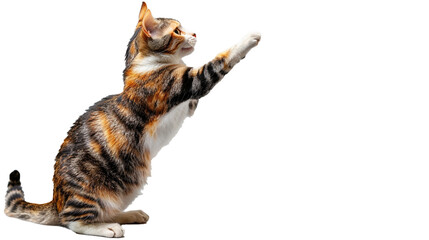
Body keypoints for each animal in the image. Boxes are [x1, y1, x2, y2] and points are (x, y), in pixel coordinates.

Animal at [4, 1, 260, 238]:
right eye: (177, 31)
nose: (195, 34)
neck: (148, 63)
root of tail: (56, 199)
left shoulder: (189, 104)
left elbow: (195, 97)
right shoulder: (188, 83)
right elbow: (216, 63)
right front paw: (248, 39)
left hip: (128, 186)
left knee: (106, 210)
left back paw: (130, 214)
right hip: (90, 191)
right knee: (73, 222)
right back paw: (107, 227)